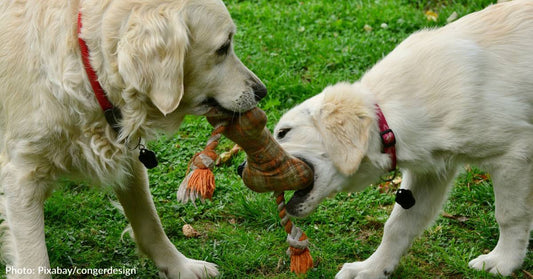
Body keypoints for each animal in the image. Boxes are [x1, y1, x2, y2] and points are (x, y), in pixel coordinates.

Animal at [0, 0, 266, 279]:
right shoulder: (23, 177)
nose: (262, 91)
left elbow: (149, 222)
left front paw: (181, 266)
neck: (87, 66)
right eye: (223, 47)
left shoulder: (130, 158)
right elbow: (34, 261)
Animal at [274, 1, 532, 278]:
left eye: (283, 132)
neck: (388, 119)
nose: (249, 167)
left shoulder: (514, 154)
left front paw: (503, 262)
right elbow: (398, 225)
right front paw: (372, 268)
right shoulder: (431, 172)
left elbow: (509, 215)